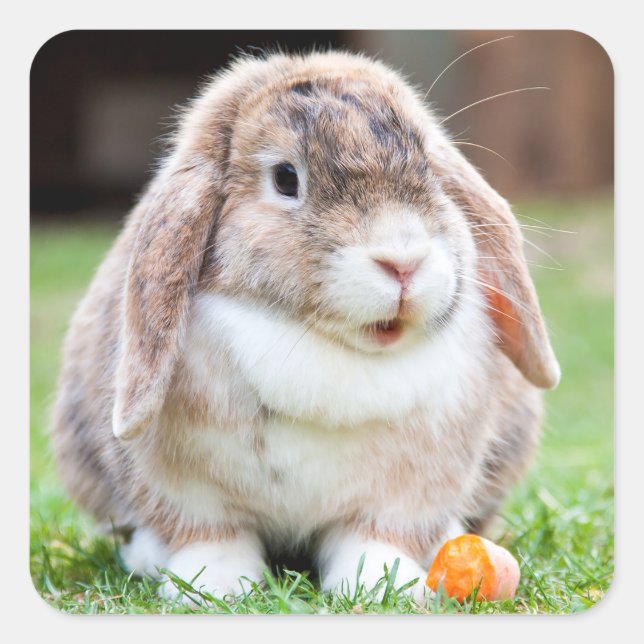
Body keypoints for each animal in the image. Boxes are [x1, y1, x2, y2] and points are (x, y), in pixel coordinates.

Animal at [50, 50, 560, 605]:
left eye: (428, 165)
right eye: (285, 178)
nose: (403, 262)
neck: (325, 346)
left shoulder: (404, 495)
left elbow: (375, 538)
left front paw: (383, 586)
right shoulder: (187, 492)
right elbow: (211, 537)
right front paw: (214, 588)